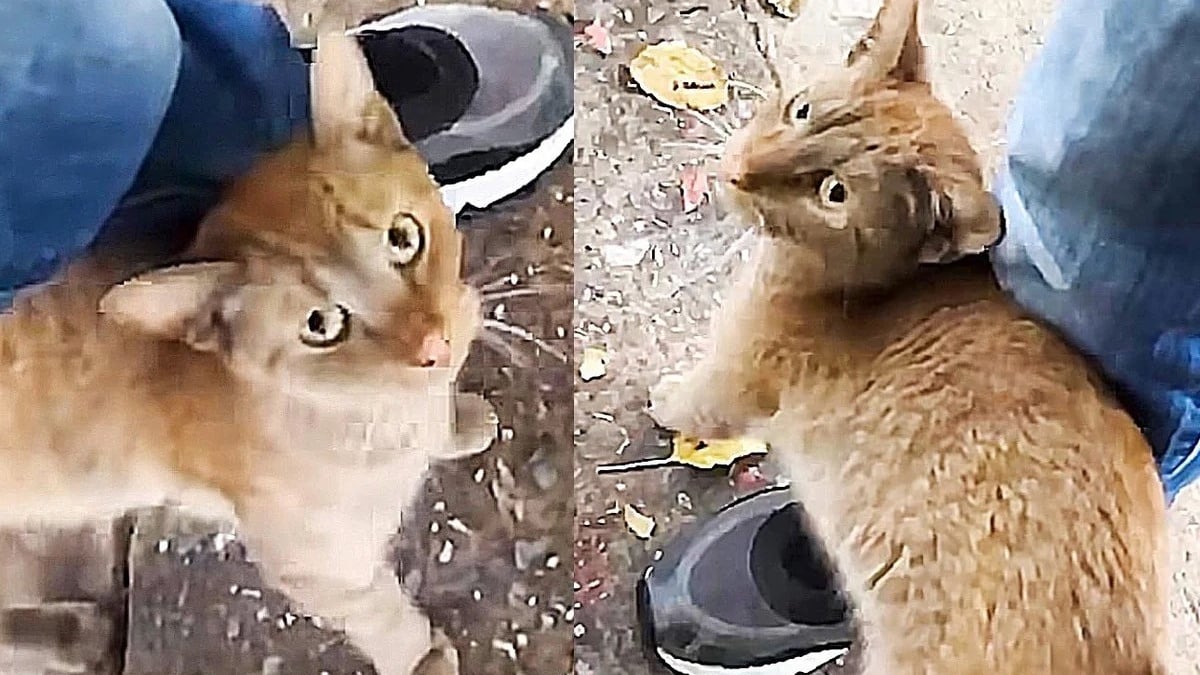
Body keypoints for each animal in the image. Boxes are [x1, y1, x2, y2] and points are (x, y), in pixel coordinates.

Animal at [0, 30, 492, 672]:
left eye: (402, 237)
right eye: (321, 325)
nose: (433, 343)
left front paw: (458, 424)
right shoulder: (322, 568)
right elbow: (380, 616)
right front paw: (420, 657)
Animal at [652, 2, 1166, 667]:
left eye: (834, 193)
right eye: (802, 110)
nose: (739, 172)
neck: (875, 288)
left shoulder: (733, 374)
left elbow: (691, 403)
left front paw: (661, 400)